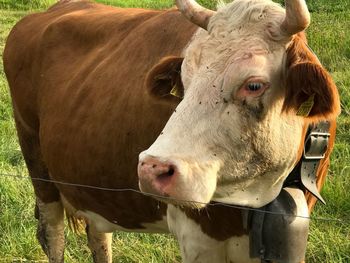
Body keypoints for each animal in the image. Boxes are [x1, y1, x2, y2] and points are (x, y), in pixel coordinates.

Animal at [3, 0, 340, 262]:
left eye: (254, 85)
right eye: (184, 78)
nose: (152, 168)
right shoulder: (199, 242)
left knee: (98, 233)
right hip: (37, 164)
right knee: (53, 234)